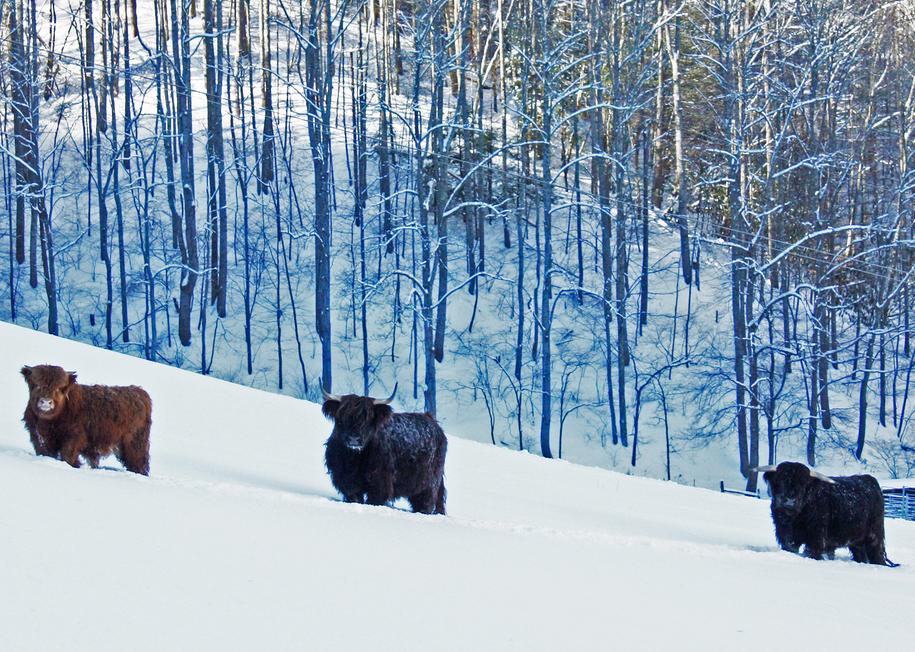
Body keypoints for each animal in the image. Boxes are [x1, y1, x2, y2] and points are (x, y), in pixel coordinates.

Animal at [21, 364, 154, 476]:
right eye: (37, 385)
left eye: (59, 388)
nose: (46, 402)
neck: (49, 423)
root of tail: (140, 392)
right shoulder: (38, 436)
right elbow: (45, 452)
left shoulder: (74, 438)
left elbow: (67, 456)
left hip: (135, 443)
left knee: (138, 462)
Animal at [324, 388, 450, 516]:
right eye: (343, 416)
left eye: (369, 419)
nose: (354, 439)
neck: (355, 458)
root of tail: (434, 422)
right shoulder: (347, 480)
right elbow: (354, 497)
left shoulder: (380, 482)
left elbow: (375, 500)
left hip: (429, 482)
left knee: (426, 500)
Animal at [760, 458, 896, 564]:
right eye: (779, 481)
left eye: (803, 484)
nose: (789, 501)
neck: (795, 519)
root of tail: (870, 479)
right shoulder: (785, 535)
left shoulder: (816, 538)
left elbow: (812, 553)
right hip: (857, 540)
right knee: (860, 554)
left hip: (874, 534)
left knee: (877, 554)